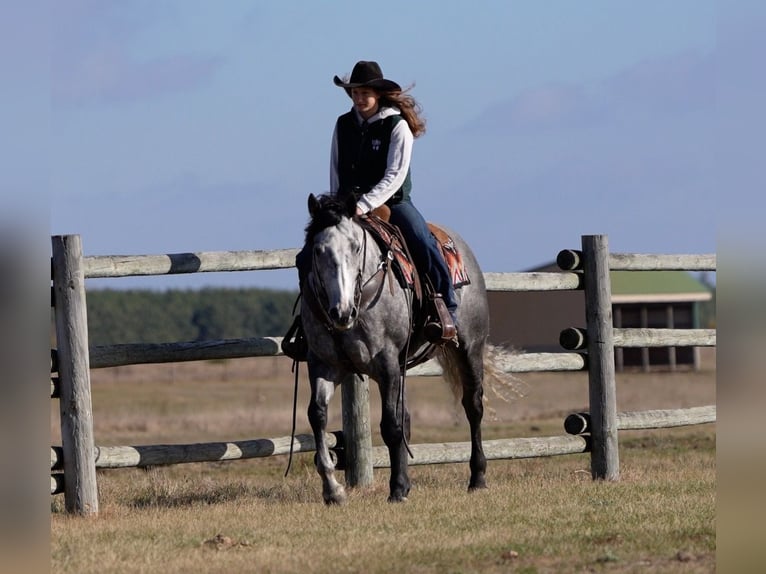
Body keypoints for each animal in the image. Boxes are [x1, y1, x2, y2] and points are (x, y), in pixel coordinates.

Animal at [300, 194, 516, 504]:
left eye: (355, 246)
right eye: (318, 250)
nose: (341, 312)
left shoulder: (387, 364)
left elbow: (391, 426)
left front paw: (398, 489)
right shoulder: (324, 364)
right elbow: (317, 416)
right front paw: (333, 491)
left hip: (470, 348)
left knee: (473, 407)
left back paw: (477, 478)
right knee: (408, 418)